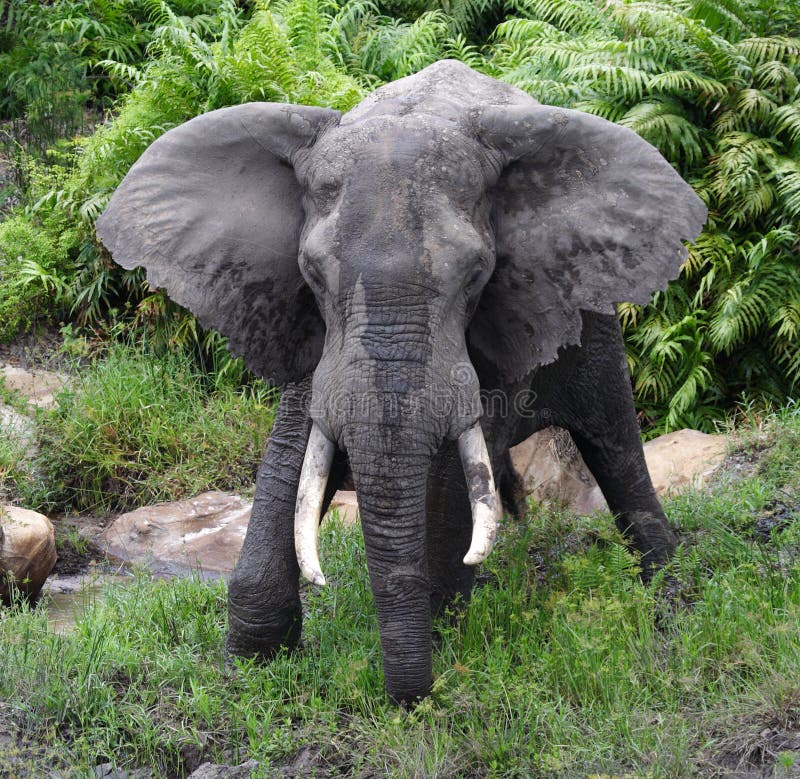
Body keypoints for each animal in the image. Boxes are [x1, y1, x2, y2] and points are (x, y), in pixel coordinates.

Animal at [95, 61, 708, 704]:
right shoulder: (312, 335)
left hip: (590, 310)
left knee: (612, 441)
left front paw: (438, 638)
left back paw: (668, 599)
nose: (408, 700)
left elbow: (450, 480)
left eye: (478, 276)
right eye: (311, 275)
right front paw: (248, 670)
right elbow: (290, 460)